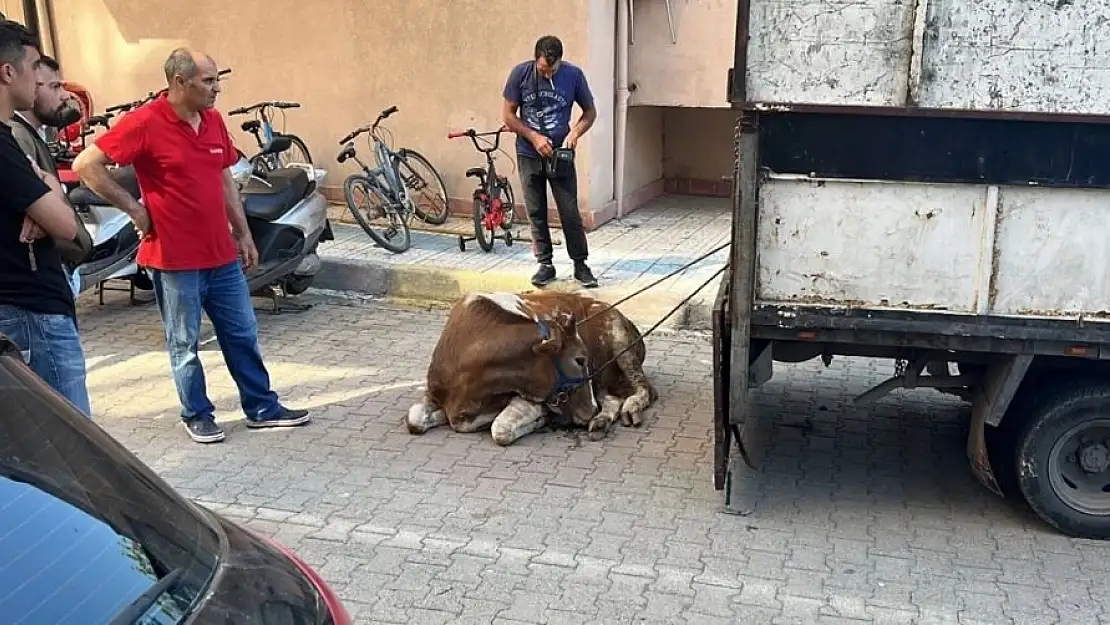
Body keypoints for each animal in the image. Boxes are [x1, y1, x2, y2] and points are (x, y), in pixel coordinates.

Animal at [408, 290, 657, 448]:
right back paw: (600, 421)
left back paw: (625, 409)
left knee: (645, 390)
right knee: (612, 398)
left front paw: (539, 420)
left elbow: (500, 430)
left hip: (622, 345)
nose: (591, 409)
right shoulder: (433, 393)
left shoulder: (533, 399)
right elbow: (414, 420)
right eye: (579, 360)